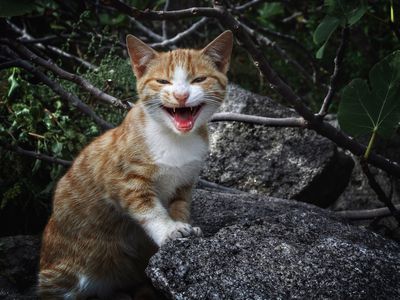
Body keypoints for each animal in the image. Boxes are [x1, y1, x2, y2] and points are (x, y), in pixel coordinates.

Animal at [37, 31, 233, 300]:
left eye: (199, 79)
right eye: (162, 81)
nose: (181, 96)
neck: (175, 140)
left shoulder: (185, 182)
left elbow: (179, 206)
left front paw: (183, 226)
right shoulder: (125, 180)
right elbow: (149, 209)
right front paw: (169, 230)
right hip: (64, 272)